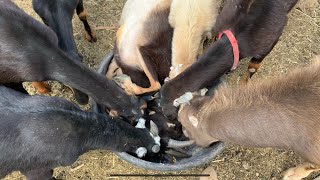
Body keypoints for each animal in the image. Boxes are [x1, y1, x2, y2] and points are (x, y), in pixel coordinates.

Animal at [160, 0, 300, 119]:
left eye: (167, 110)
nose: (172, 119)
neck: (238, 36)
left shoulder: (268, 44)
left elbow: (253, 68)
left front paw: (244, 84)